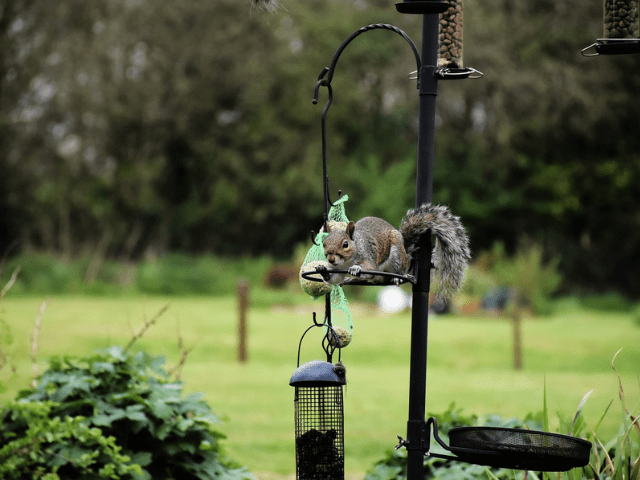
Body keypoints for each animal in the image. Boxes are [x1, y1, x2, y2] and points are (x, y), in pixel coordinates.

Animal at [324, 203, 470, 300]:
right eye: (324, 243)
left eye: (345, 244)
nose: (330, 259)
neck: (345, 262)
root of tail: (406, 253)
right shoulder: (337, 269)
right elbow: (335, 277)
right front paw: (323, 270)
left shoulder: (367, 255)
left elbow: (368, 268)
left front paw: (356, 268)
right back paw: (351, 279)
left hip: (396, 257)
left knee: (392, 273)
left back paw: (397, 277)